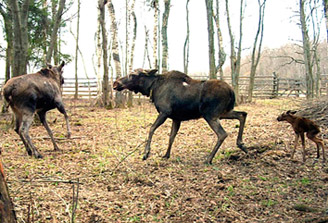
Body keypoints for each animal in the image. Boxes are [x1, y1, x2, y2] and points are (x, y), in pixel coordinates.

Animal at [114, 69, 247, 165]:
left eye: (132, 74)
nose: (116, 83)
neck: (152, 88)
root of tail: (232, 91)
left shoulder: (164, 112)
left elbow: (151, 129)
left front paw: (146, 153)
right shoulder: (176, 118)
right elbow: (171, 137)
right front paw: (166, 155)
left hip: (210, 114)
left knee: (222, 133)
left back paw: (209, 159)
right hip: (223, 112)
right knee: (242, 114)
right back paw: (241, 145)